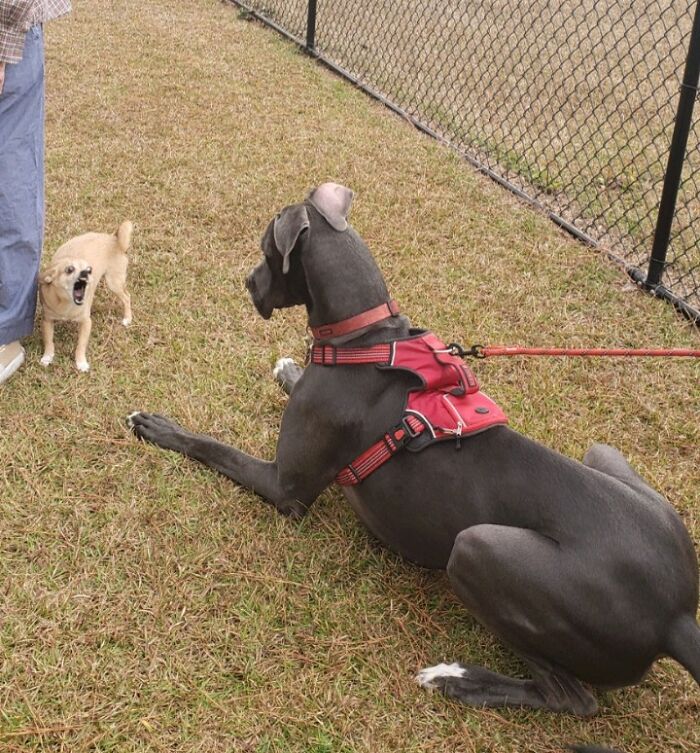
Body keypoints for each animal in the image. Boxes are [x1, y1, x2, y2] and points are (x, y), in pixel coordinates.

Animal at [40, 219, 134, 372]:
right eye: (69, 269)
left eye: (90, 269)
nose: (86, 272)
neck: (67, 305)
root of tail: (114, 238)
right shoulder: (47, 321)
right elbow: (49, 341)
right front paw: (47, 357)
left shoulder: (86, 323)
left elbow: (81, 345)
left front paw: (81, 362)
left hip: (113, 282)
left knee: (127, 297)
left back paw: (127, 318)